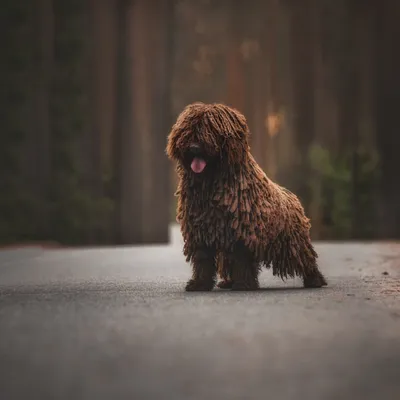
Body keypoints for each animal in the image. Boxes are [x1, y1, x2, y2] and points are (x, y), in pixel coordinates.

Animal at [167, 101, 326, 292]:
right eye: (188, 129)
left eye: (210, 129)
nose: (194, 147)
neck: (211, 182)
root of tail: (292, 197)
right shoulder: (200, 230)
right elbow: (202, 260)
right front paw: (199, 284)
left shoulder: (243, 232)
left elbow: (242, 259)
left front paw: (243, 284)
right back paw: (228, 282)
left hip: (293, 242)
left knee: (305, 259)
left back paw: (315, 280)